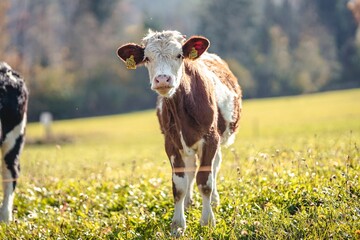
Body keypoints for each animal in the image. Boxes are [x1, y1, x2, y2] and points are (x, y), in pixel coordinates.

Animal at [116, 30, 243, 236]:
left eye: (179, 55)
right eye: (147, 58)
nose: (162, 79)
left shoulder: (210, 138)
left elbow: (205, 181)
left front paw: (207, 222)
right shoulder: (171, 142)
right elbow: (179, 184)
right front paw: (177, 225)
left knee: (214, 166)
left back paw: (214, 200)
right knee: (190, 169)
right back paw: (188, 203)